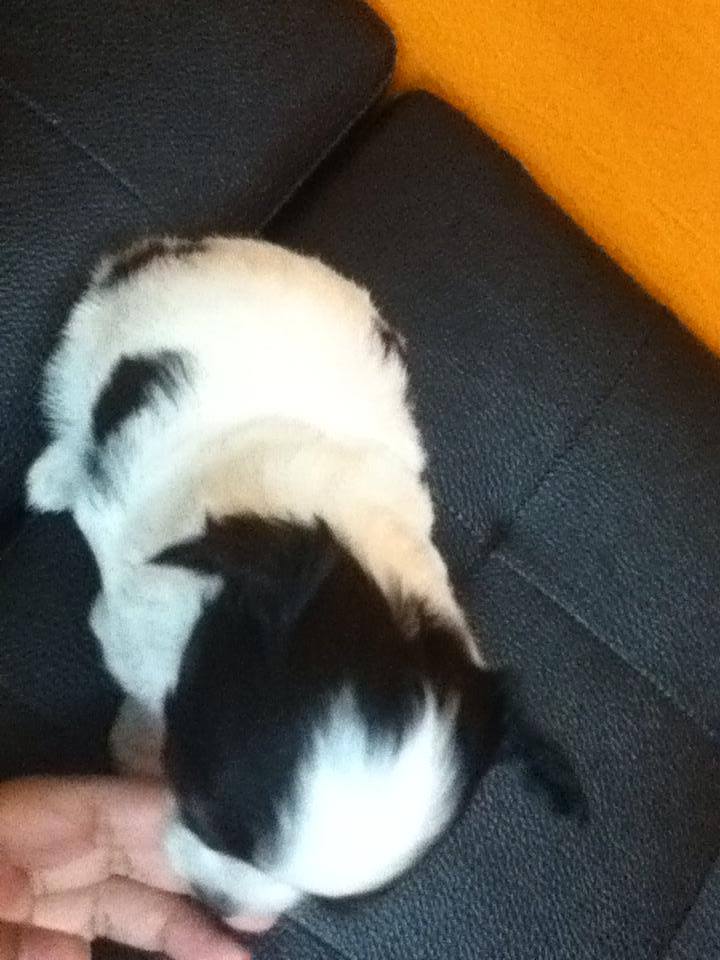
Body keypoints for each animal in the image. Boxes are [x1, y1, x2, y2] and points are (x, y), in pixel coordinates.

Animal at [27, 235, 584, 925]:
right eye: (203, 813)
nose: (220, 904)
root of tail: (186, 246)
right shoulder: (132, 618)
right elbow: (140, 685)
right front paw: (136, 739)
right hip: (92, 341)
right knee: (73, 410)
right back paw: (55, 474)